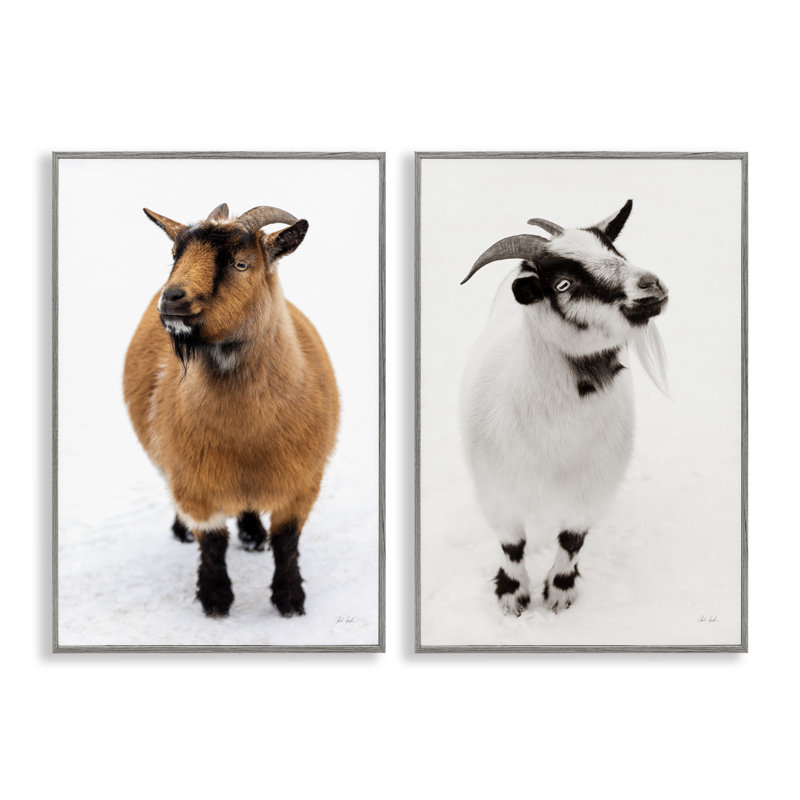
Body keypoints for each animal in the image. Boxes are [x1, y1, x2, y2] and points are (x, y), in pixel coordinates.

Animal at [123, 202, 339, 618]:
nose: (171, 298)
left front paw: (290, 601)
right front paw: (216, 600)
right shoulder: (194, 482)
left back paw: (253, 534)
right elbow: (212, 543)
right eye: (174, 254)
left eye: (241, 264)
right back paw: (183, 532)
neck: (247, 436)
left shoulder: (302, 482)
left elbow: (287, 542)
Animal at [459, 200, 668, 616]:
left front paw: (559, 593)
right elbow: (512, 546)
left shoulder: (592, 492)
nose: (650, 285)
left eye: (616, 252)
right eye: (563, 284)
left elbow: (571, 542)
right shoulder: (497, 493)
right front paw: (513, 597)